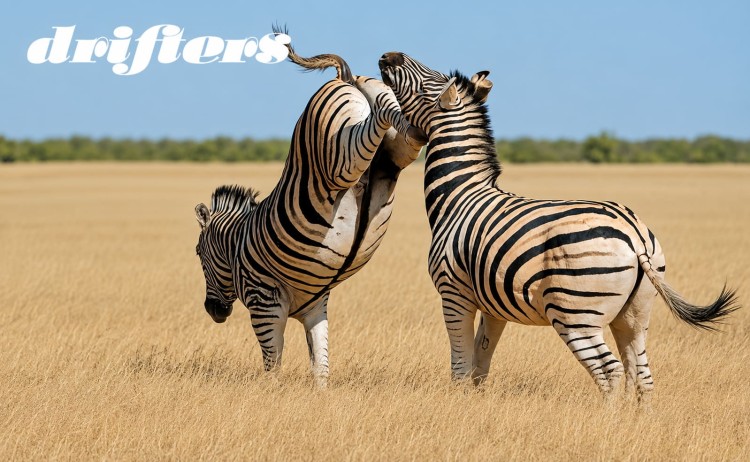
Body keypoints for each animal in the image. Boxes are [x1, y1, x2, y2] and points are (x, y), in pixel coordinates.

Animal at [194, 45, 426, 387]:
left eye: (198, 253)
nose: (213, 311)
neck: (235, 247)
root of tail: (343, 77)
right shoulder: (316, 307)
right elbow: (320, 363)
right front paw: (321, 395)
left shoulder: (265, 304)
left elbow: (272, 363)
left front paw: (270, 393)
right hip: (389, 139)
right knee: (397, 123)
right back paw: (422, 124)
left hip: (337, 159)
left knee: (373, 127)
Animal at [377, 52, 738, 401]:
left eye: (428, 82)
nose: (388, 56)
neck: (460, 195)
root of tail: (634, 234)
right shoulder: (492, 306)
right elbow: (481, 362)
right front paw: (475, 404)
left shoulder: (454, 292)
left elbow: (461, 366)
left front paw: (458, 403)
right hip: (635, 314)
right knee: (641, 374)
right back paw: (634, 421)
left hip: (574, 313)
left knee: (609, 370)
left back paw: (605, 421)